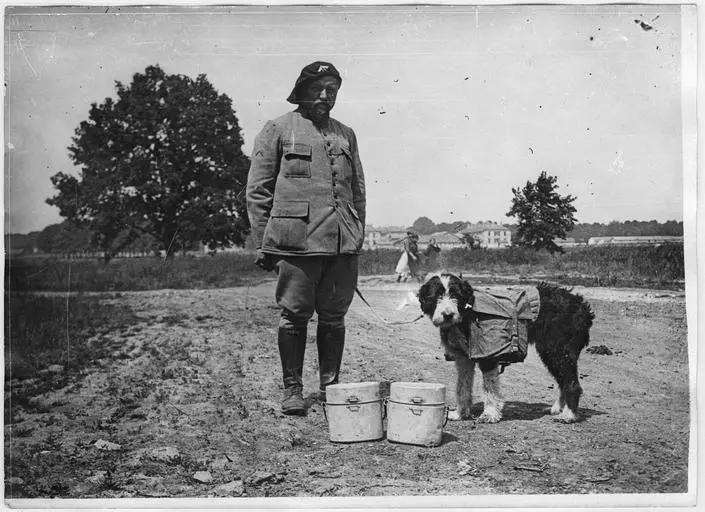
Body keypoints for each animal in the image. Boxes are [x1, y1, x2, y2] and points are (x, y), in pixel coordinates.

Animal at [418, 274, 592, 422]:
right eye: (437, 296)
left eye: (455, 295)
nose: (448, 315)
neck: (468, 312)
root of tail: (582, 306)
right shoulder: (463, 359)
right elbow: (462, 386)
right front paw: (460, 413)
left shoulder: (488, 356)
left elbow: (489, 388)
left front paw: (489, 415)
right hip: (554, 354)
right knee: (564, 381)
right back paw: (558, 408)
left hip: (557, 351)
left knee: (572, 383)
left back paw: (569, 415)